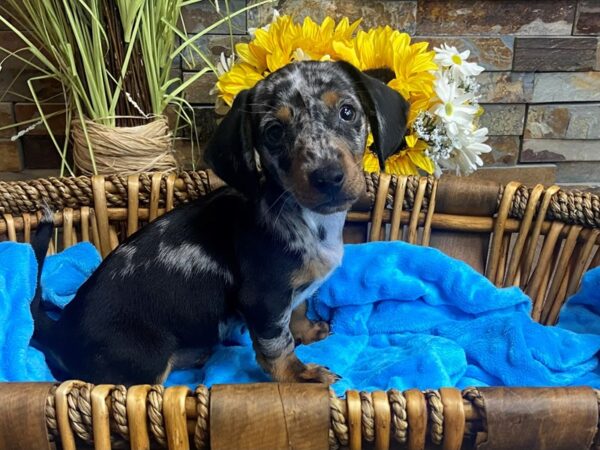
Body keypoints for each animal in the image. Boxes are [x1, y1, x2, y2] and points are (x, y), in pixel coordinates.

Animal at [30, 59, 410, 384]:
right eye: (274, 132)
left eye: (347, 112)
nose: (328, 176)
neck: (308, 220)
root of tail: (61, 330)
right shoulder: (264, 299)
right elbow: (278, 344)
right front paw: (300, 375)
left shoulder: (290, 294)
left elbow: (298, 310)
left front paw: (308, 331)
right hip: (143, 362)